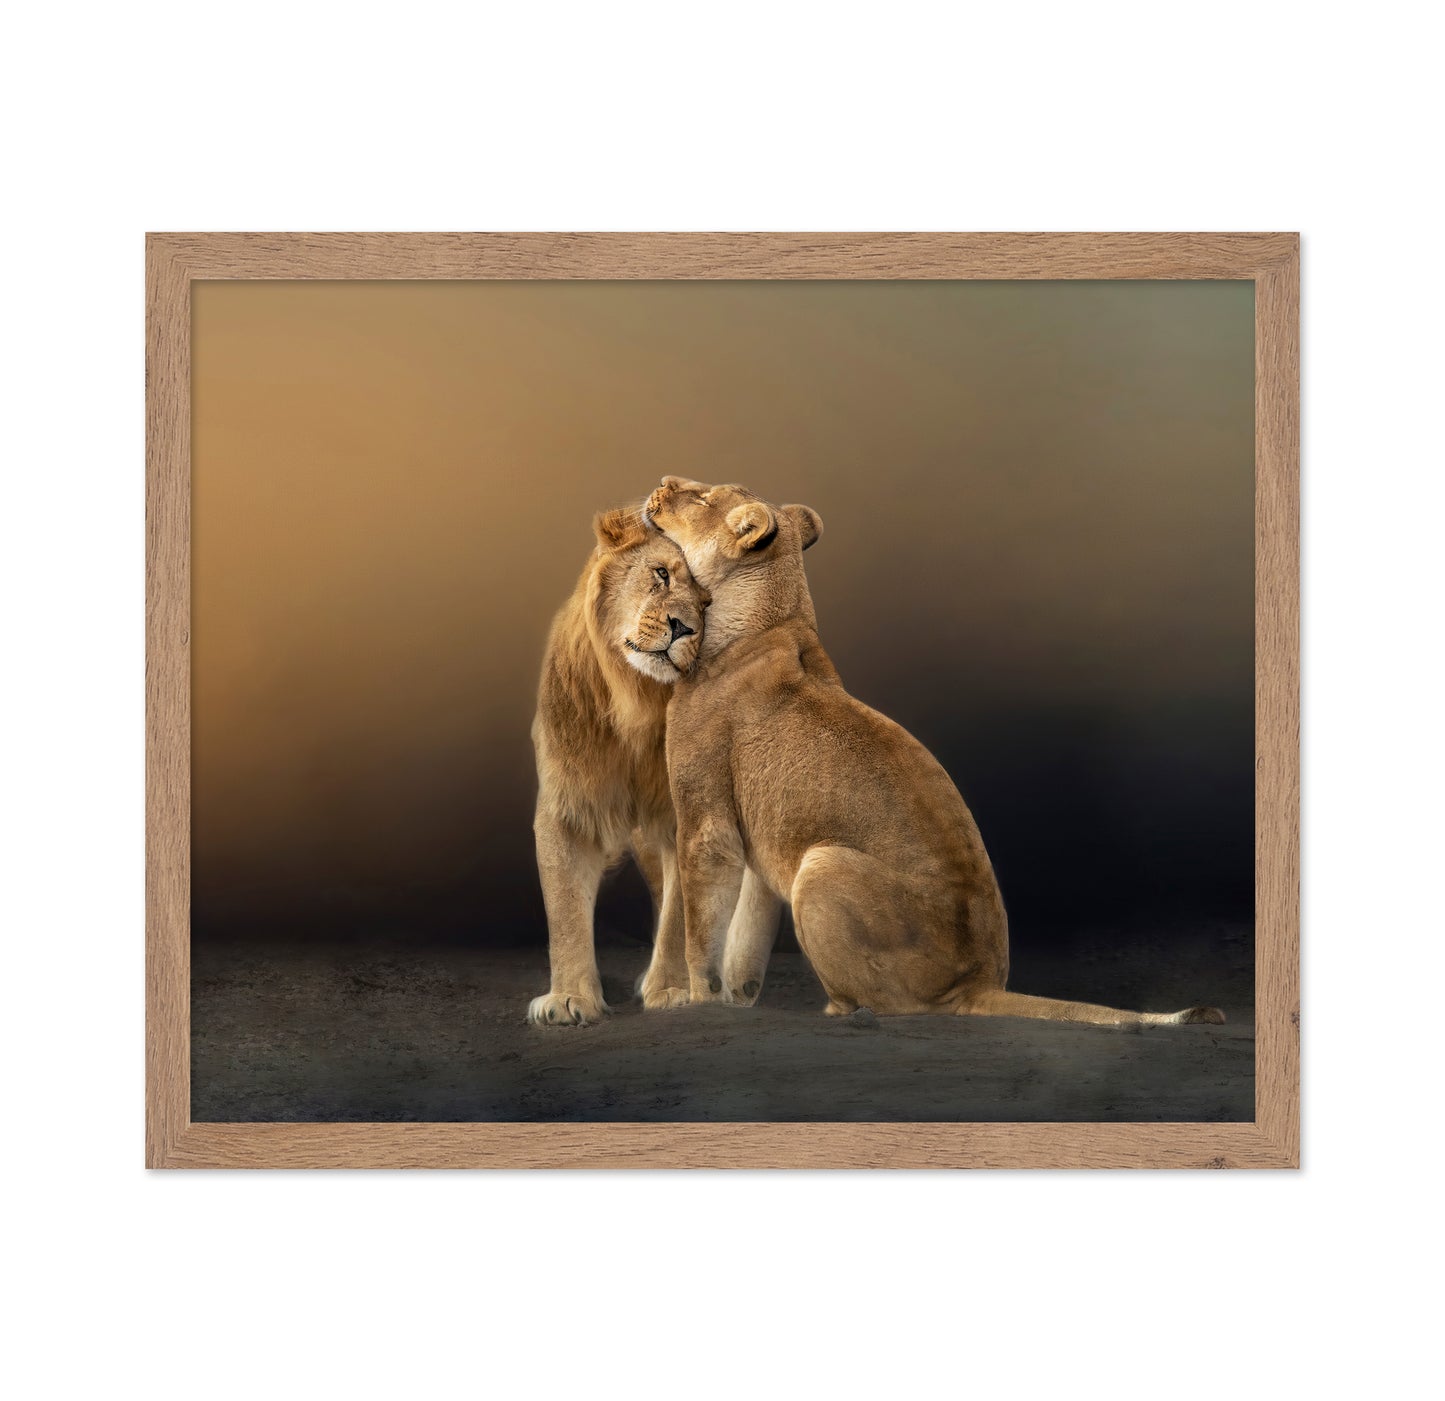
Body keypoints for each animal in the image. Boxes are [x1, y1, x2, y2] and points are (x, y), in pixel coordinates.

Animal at [526, 504, 782, 1026]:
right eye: (661, 574)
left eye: (707, 605)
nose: (682, 628)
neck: (637, 701)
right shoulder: (566, 808)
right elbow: (565, 910)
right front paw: (569, 998)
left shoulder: (691, 813)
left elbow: (683, 915)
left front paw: (673, 989)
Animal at [644, 475, 1226, 1028]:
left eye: (702, 497)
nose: (665, 480)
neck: (770, 618)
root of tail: (977, 985)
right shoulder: (754, 838)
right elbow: (746, 931)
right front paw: (737, 998)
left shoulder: (707, 824)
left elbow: (702, 930)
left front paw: (697, 1002)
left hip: (822, 863)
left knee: (888, 1006)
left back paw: (841, 1010)